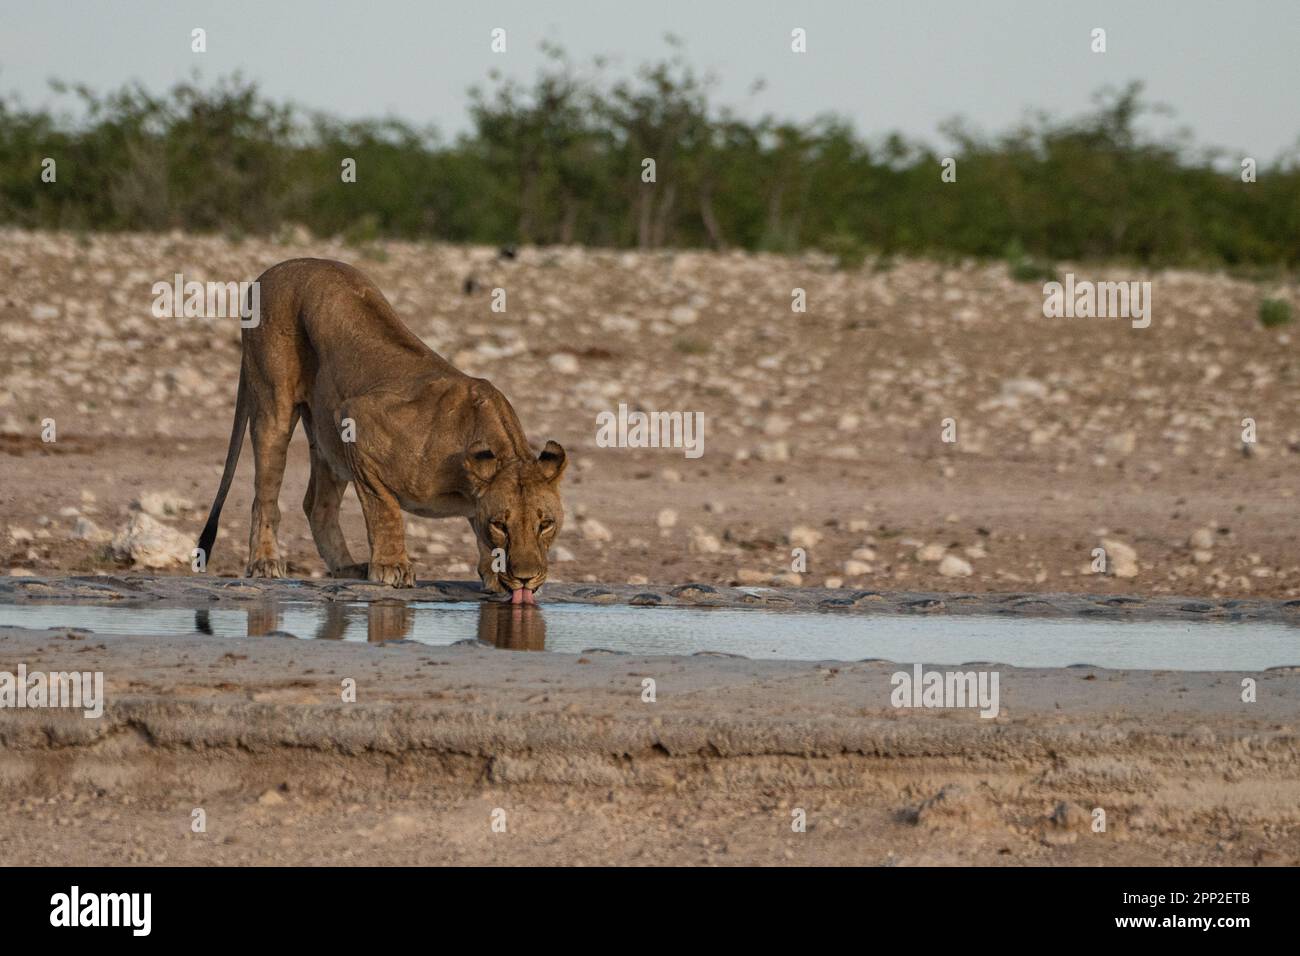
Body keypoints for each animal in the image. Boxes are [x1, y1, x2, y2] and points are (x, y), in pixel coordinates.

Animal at [196, 258, 566, 603]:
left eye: (545, 524)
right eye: (501, 525)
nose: (525, 579)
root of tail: (269, 272)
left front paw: (492, 573)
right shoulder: (357, 422)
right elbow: (385, 512)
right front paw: (392, 566)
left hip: (326, 439)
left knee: (317, 506)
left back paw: (346, 567)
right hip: (274, 403)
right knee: (265, 496)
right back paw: (265, 562)